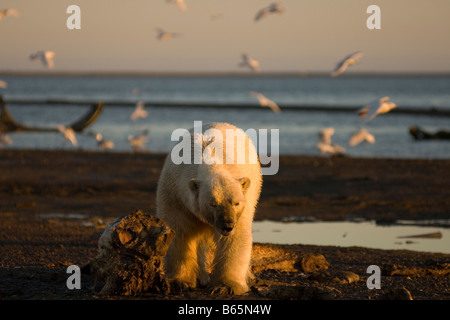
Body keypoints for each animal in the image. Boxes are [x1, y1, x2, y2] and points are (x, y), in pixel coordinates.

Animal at [156, 122, 262, 296]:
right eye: (213, 204)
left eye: (236, 203)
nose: (227, 225)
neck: (209, 159)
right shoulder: (176, 194)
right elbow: (180, 231)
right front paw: (180, 282)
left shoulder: (241, 208)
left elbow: (236, 237)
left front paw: (226, 286)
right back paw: (202, 277)